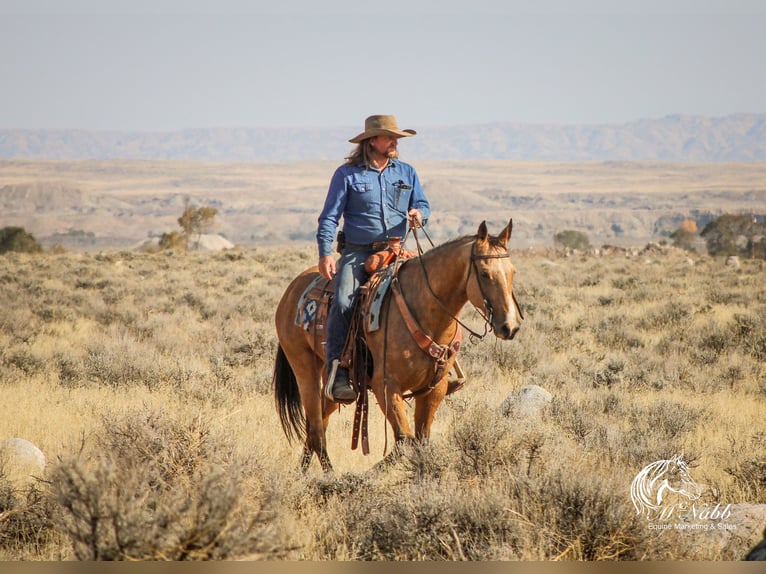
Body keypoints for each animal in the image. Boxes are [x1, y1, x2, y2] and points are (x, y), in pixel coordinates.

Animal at [274, 220, 520, 472]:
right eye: (484, 273)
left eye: (512, 272)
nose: (509, 326)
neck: (425, 312)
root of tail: (293, 288)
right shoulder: (386, 387)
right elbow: (404, 440)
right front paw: (368, 474)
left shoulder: (434, 389)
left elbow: (420, 442)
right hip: (305, 368)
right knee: (315, 428)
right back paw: (330, 476)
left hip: (331, 383)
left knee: (319, 422)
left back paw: (304, 472)